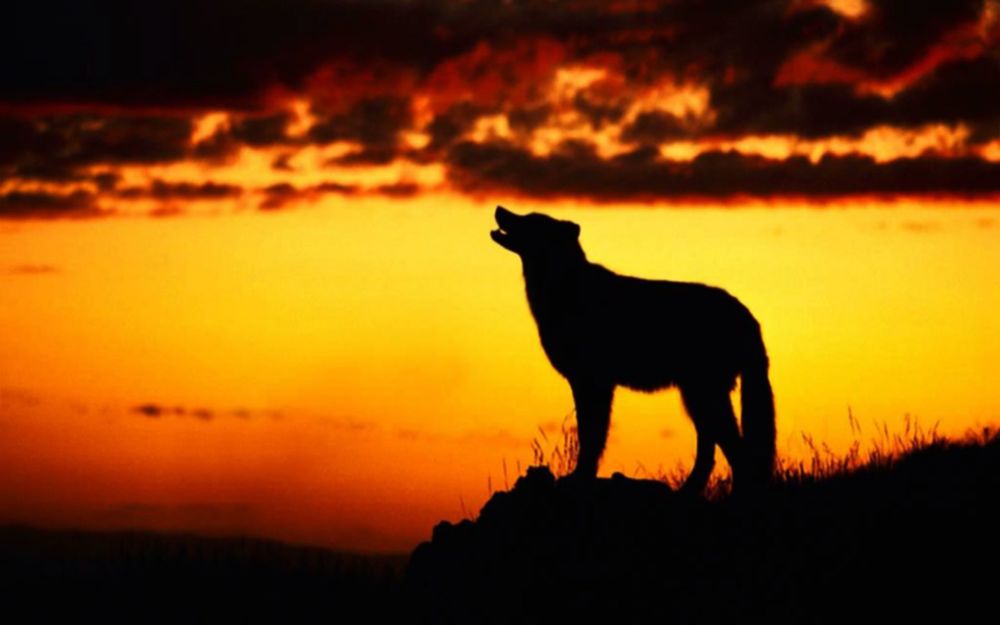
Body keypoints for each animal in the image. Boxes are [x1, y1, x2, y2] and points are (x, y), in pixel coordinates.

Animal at [491, 206, 775, 493]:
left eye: (531, 220)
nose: (499, 209)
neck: (564, 286)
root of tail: (750, 318)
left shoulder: (592, 382)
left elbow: (591, 436)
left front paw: (580, 477)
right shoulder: (589, 383)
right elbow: (591, 434)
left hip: (704, 395)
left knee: (737, 452)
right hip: (698, 397)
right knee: (713, 450)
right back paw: (688, 490)